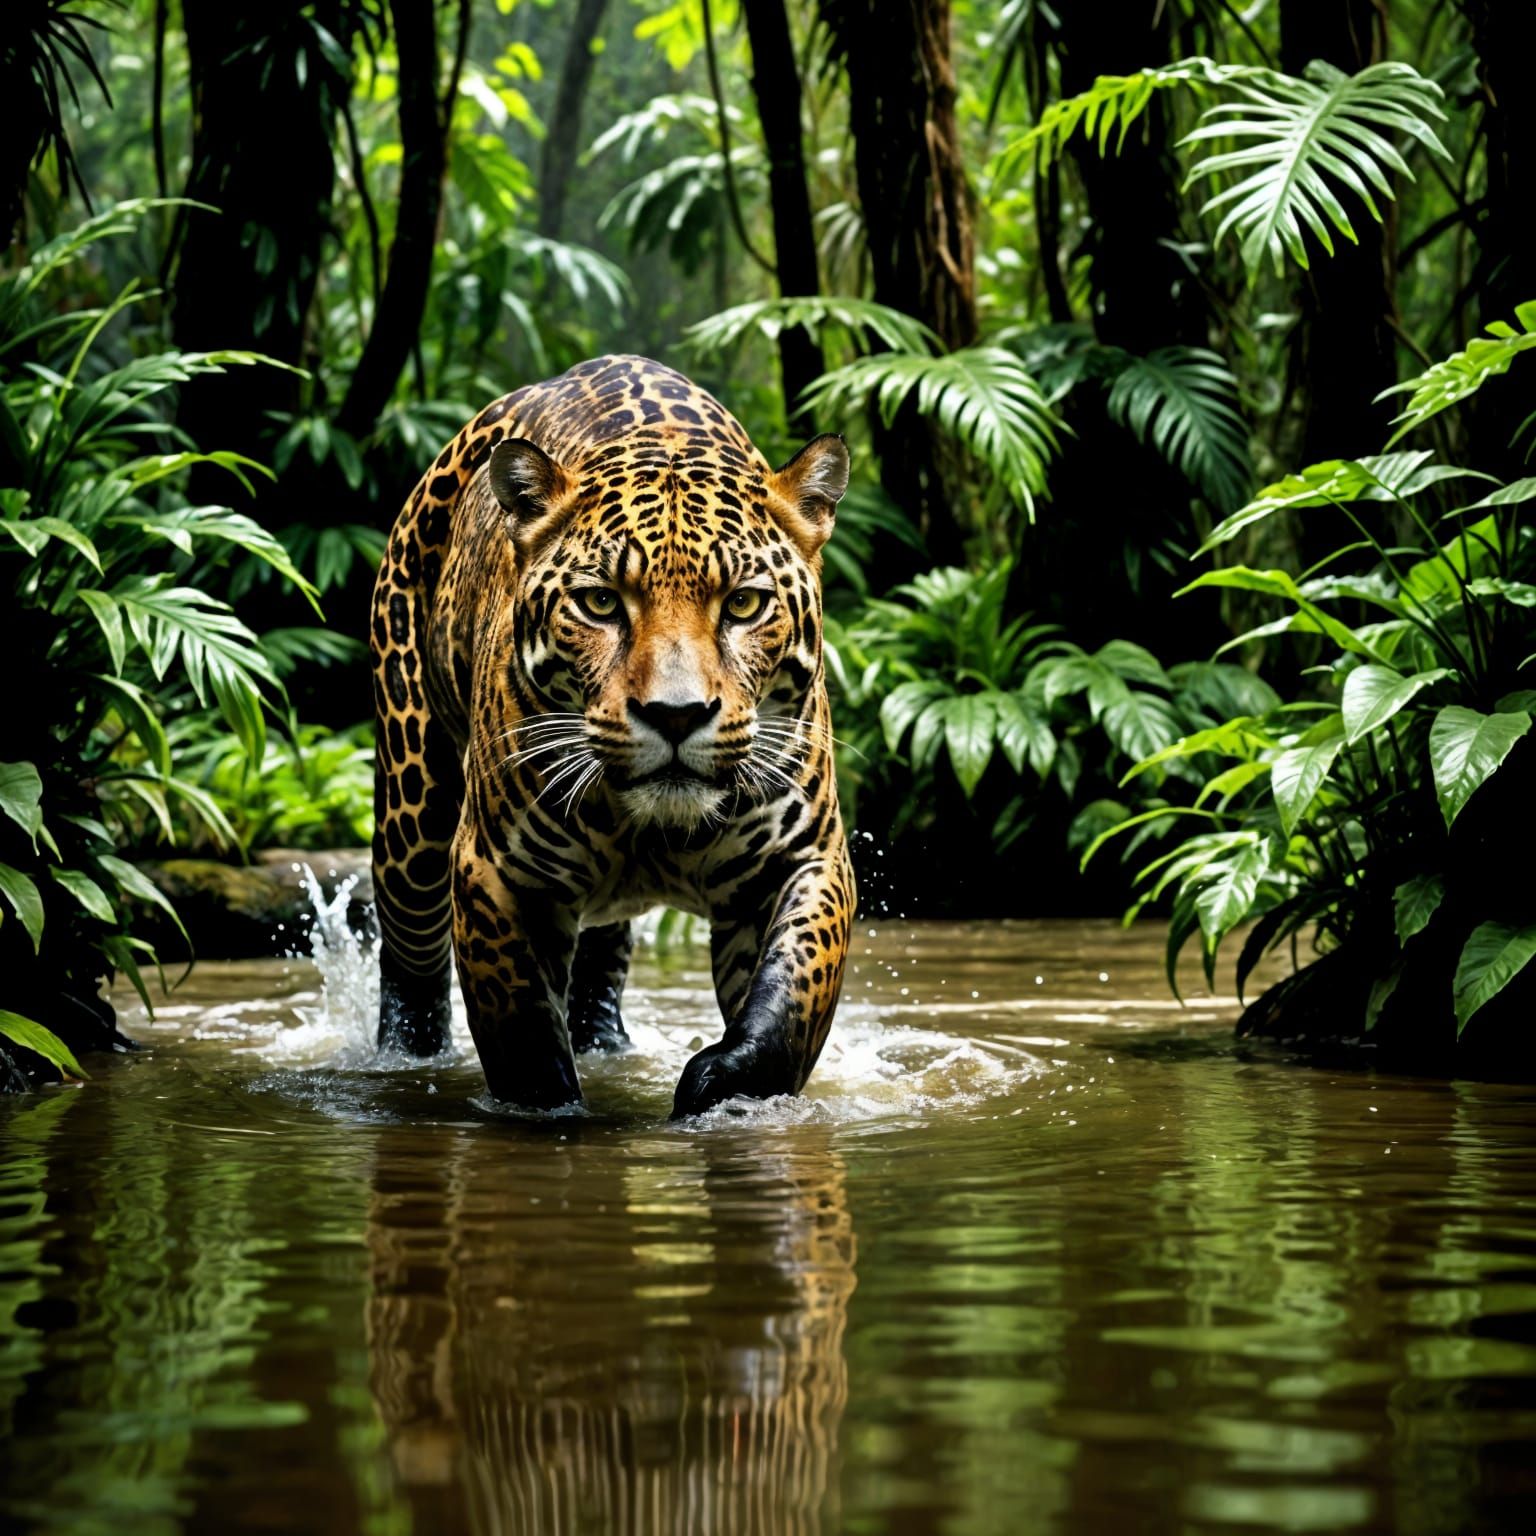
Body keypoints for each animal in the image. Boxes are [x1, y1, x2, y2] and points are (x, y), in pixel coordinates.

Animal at [369, 354, 855, 1118]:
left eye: (744, 604)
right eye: (600, 603)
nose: (677, 714)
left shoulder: (801, 858)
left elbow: (793, 997)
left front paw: (723, 1082)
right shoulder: (496, 873)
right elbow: (522, 1037)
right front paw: (553, 1108)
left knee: (599, 961)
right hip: (411, 819)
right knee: (410, 961)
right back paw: (404, 1058)